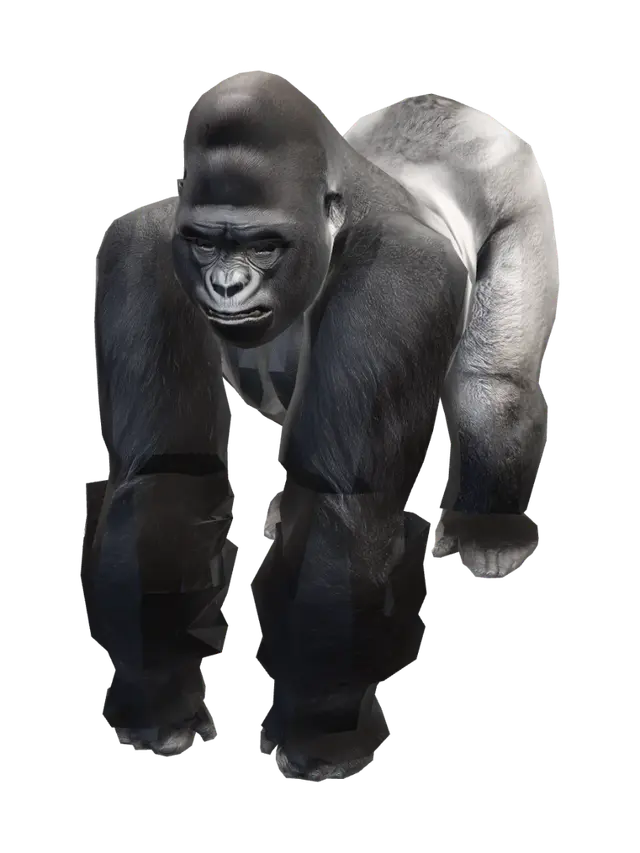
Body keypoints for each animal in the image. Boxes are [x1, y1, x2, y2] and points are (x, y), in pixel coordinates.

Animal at [83, 71, 558, 780]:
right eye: (206, 242)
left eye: (262, 245)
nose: (226, 286)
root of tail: (446, 105)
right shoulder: (140, 247)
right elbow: (165, 472)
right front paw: (157, 700)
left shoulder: (400, 272)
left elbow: (343, 501)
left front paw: (319, 728)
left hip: (517, 182)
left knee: (492, 386)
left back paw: (489, 528)